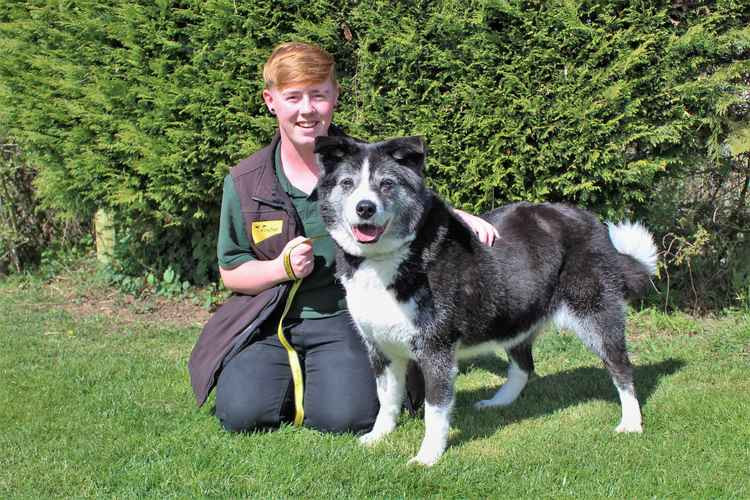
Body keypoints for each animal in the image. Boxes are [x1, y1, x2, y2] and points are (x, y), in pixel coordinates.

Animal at [314, 136, 660, 464]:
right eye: (348, 184)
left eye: (386, 183)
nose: (365, 208)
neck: (384, 259)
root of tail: (591, 221)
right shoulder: (380, 348)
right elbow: (386, 399)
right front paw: (378, 436)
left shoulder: (436, 349)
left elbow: (434, 411)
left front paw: (428, 456)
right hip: (514, 317)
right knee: (524, 366)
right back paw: (499, 402)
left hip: (595, 316)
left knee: (622, 369)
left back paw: (631, 422)